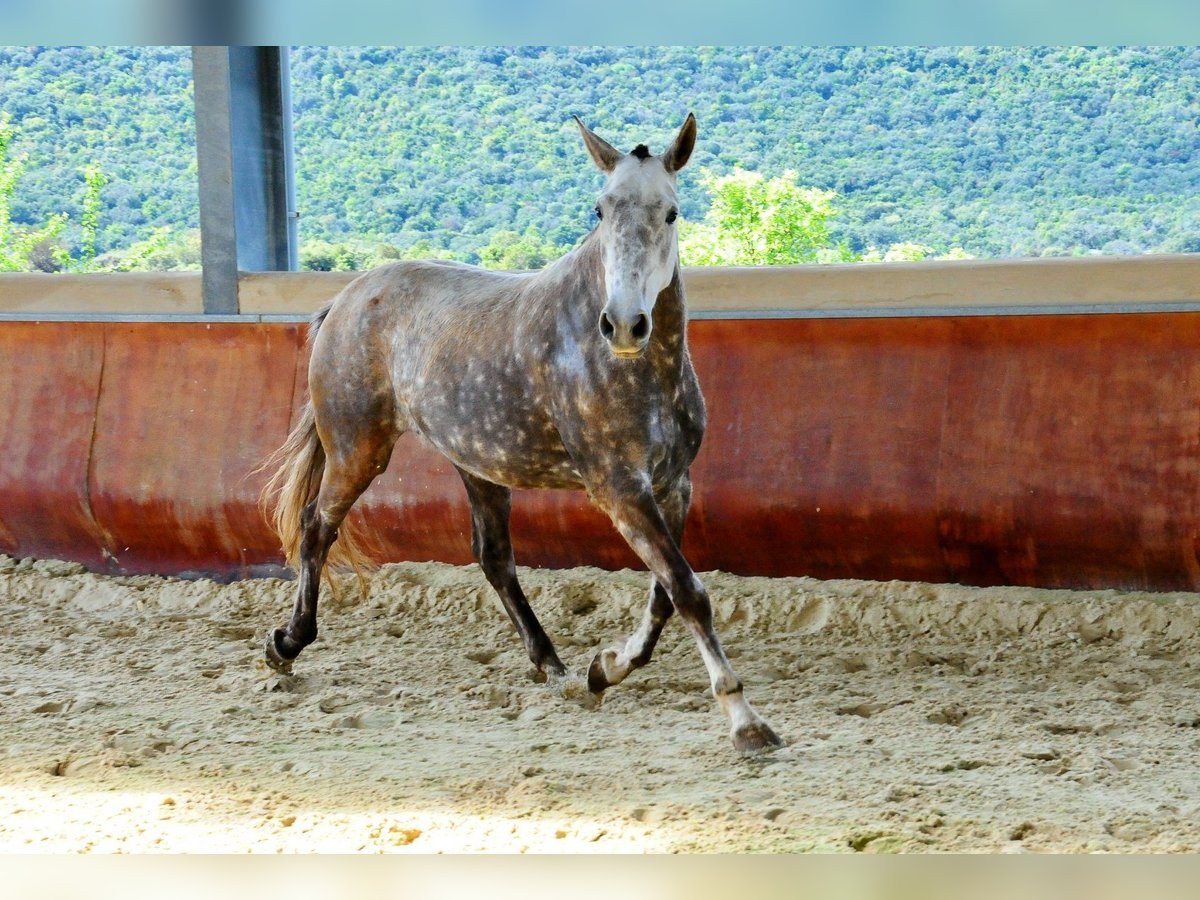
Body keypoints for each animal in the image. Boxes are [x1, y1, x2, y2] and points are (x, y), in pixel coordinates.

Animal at [262, 116, 782, 758]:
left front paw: (604, 668)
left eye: (671, 213)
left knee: (494, 557)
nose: (625, 324)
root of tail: (344, 301)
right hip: (359, 450)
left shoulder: (673, 486)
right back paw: (285, 645)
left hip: (477, 465)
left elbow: (666, 593)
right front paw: (744, 721)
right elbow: (687, 591)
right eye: (600, 209)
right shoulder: (620, 489)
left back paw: (552, 664)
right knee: (316, 525)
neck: (633, 370)